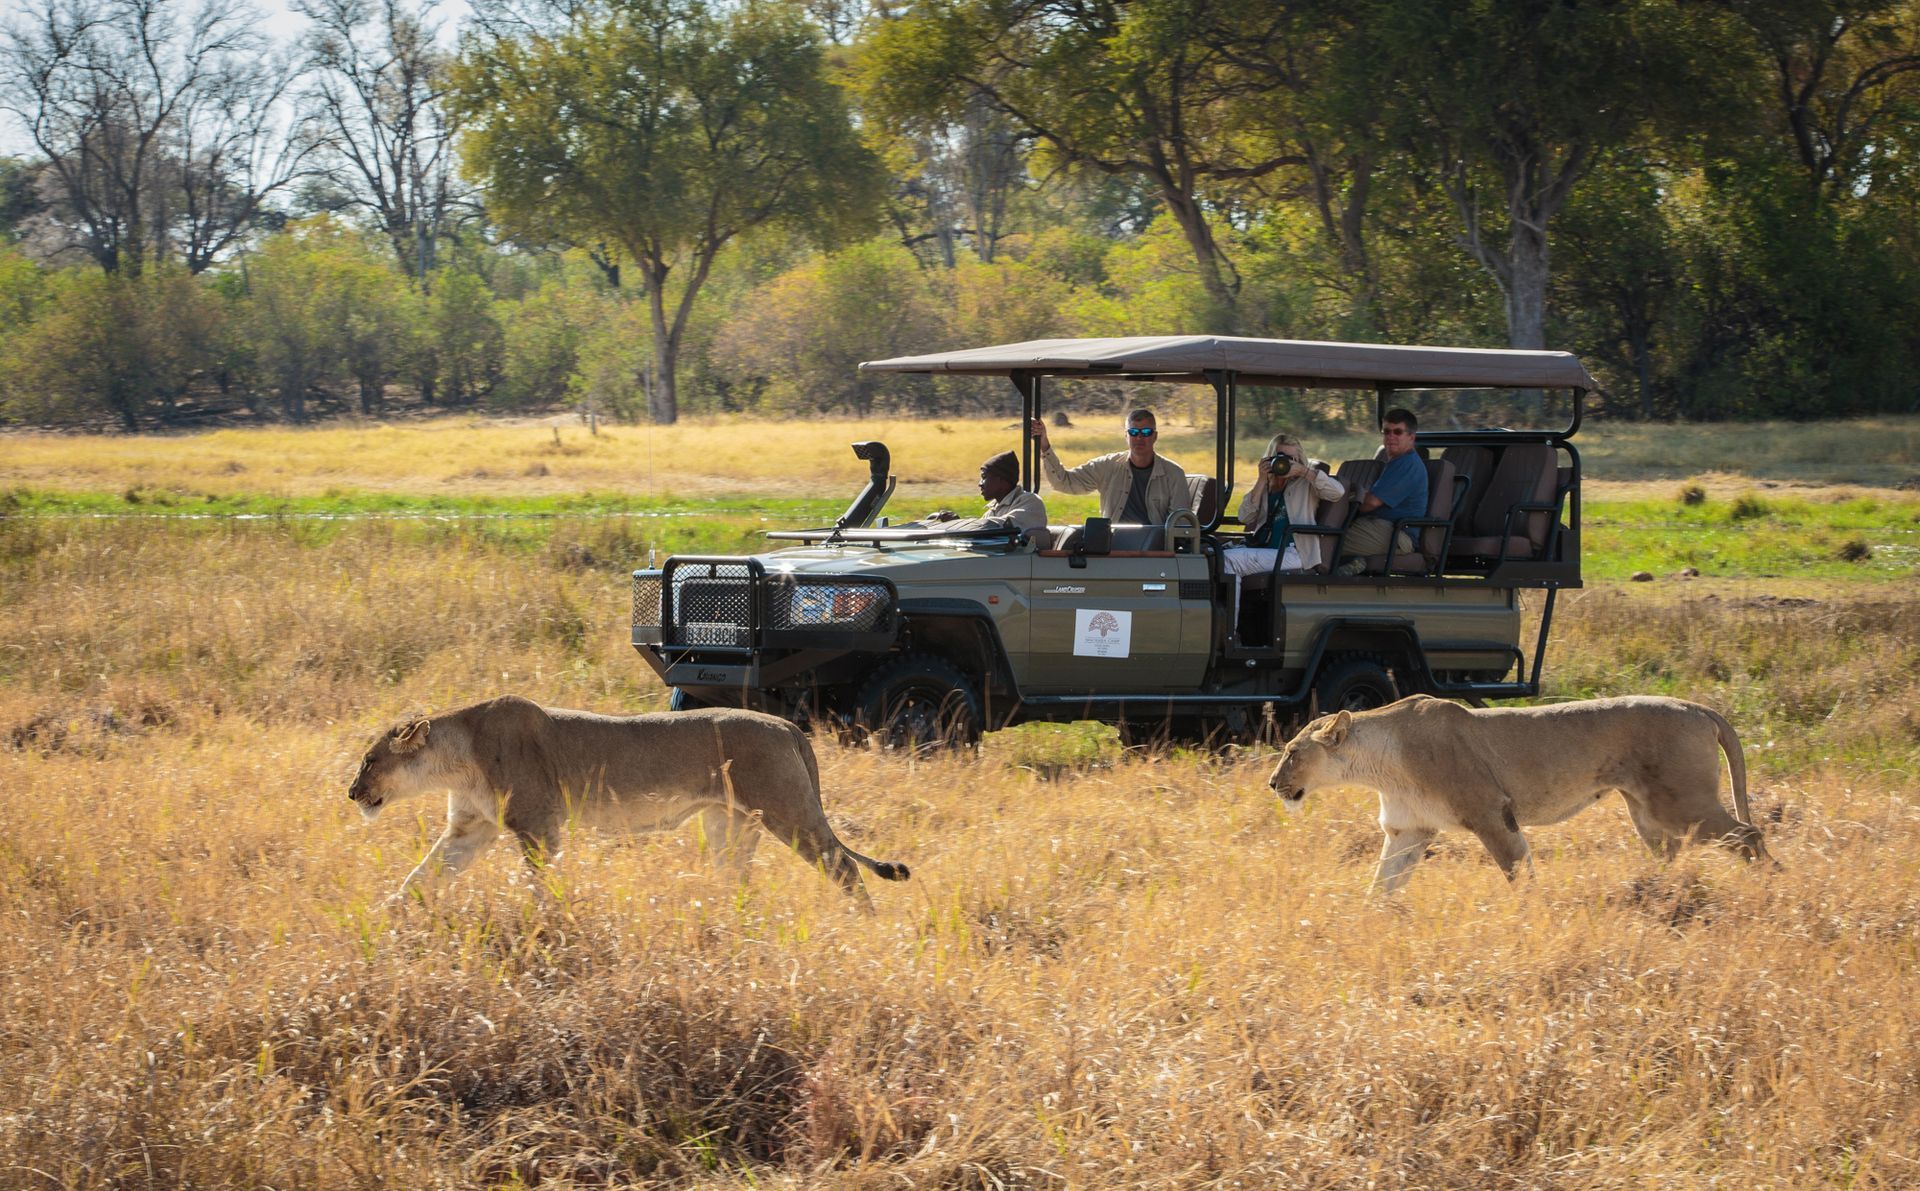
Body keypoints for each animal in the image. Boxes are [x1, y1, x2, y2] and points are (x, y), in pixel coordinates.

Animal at [347, 695, 909, 907]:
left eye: (370, 760)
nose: (352, 793)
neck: (456, 760)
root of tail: (789, 727)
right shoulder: (469, 829)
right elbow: (422, 875)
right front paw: (390, 914)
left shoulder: (538, 825)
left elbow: (541, 884)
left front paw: (545, 920)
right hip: (730, 824)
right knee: (737, 880)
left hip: (788, 811)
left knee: (845, 868)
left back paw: (863, 923)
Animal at [1266, 694, 1769, 892]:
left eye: (1291, 752)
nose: (1272, 783)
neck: (1380, 764)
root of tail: (1696, 706)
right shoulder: (1408, 829)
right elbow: (1383, 885)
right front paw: (1366, 921)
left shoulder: (1492, 811)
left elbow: (1518, 874)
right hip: (1648, 815)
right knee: (1674, 851)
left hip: (1682, 802)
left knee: (1750, 833)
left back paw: (1769, 889)